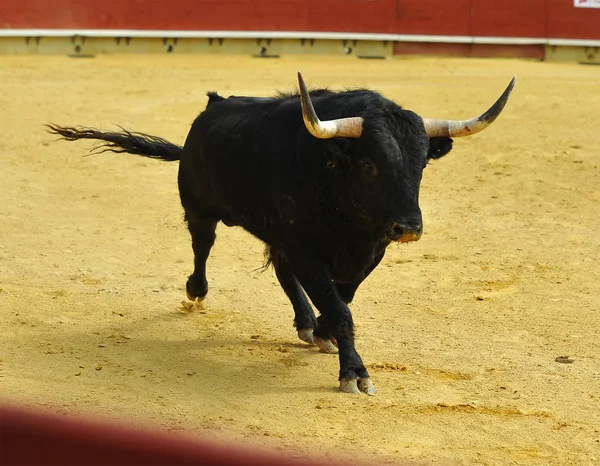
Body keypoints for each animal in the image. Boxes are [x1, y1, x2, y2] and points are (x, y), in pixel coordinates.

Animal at [47, 71, 516, 396]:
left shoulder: (366, 252)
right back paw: (197, 291)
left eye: (422, 165)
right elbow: (341, 309)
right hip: (199, 207)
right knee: (202, 246)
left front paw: (323, 331)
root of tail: (210, 110)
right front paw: (355, 374)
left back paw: (306, 323)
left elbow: (342, 300)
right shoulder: (307, 247)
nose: (409, 228)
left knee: (281, 271)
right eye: (370, 165)